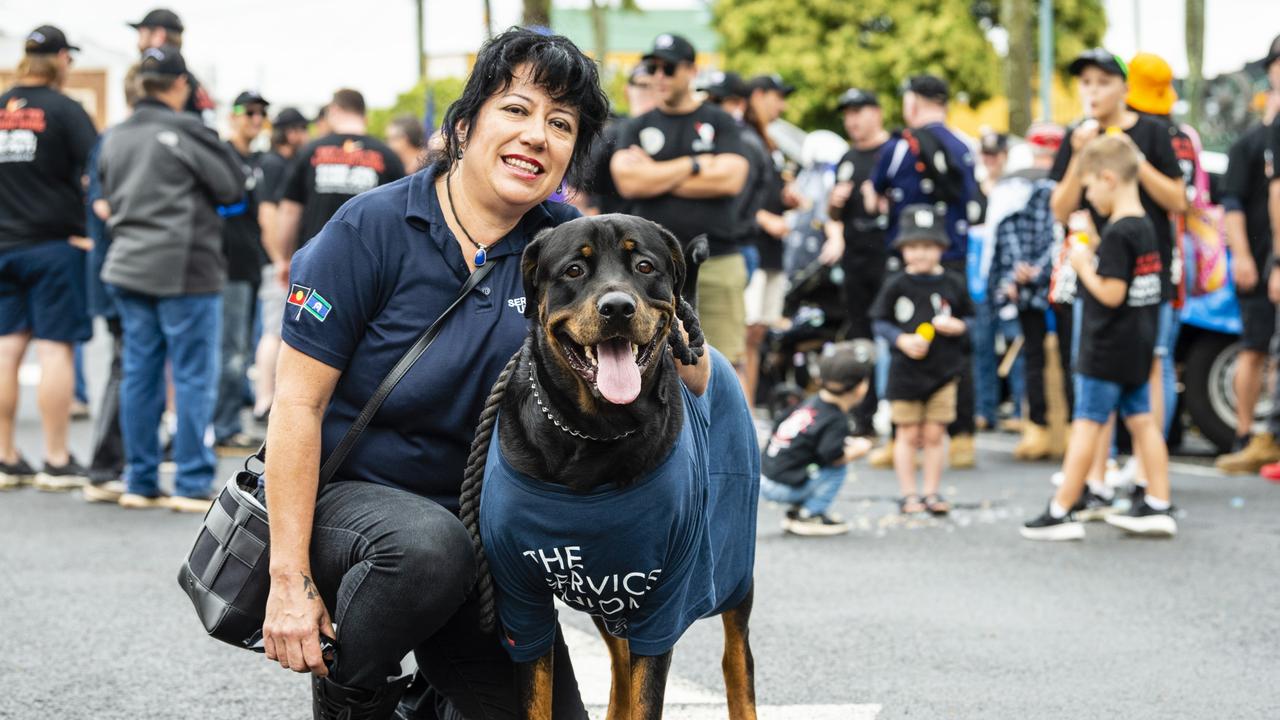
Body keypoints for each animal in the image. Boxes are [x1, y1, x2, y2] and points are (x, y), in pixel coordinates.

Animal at [476, 213, 762, 717]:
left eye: (645, 265)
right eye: (573, 270)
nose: (617, 308)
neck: (594, 432)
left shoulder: (667, 595)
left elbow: (649, 692)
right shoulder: (520, 595)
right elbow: (539, 694)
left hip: (732, 566)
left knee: (735, 656)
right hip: (606, 598)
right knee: (621, 661)